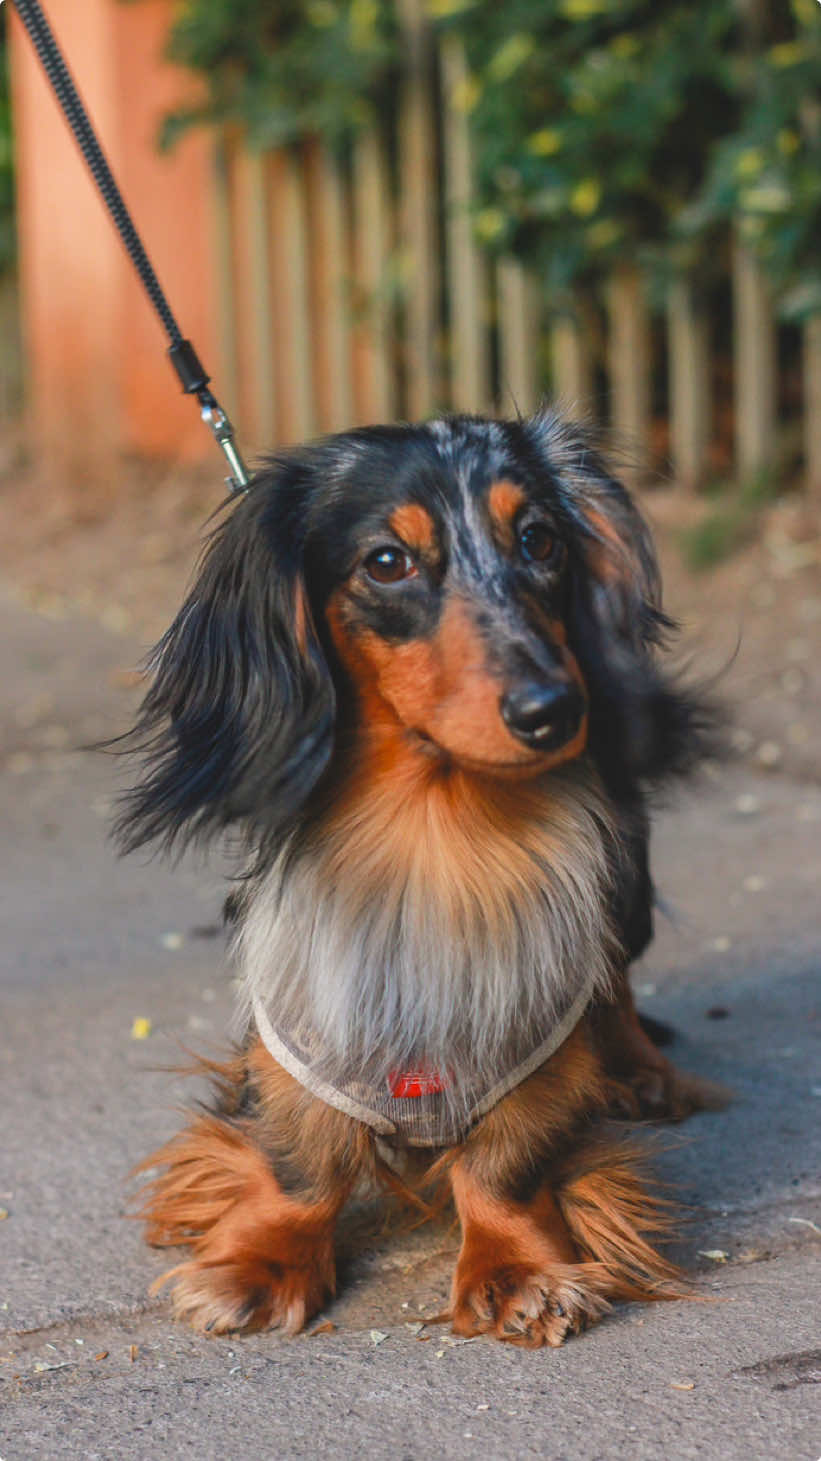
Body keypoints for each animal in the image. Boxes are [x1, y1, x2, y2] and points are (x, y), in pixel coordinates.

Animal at [116, 409, 715, 1344]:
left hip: (624, 876)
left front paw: (517, 1267)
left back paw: (642, 1071)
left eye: (539, 539)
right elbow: (300, 1157)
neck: (437, 835)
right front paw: (262, 1258)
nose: (554, 710)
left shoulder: (530, 1032)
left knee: (613, 978)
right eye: (387, 561)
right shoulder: (301, 1028)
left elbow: (504, 1162)